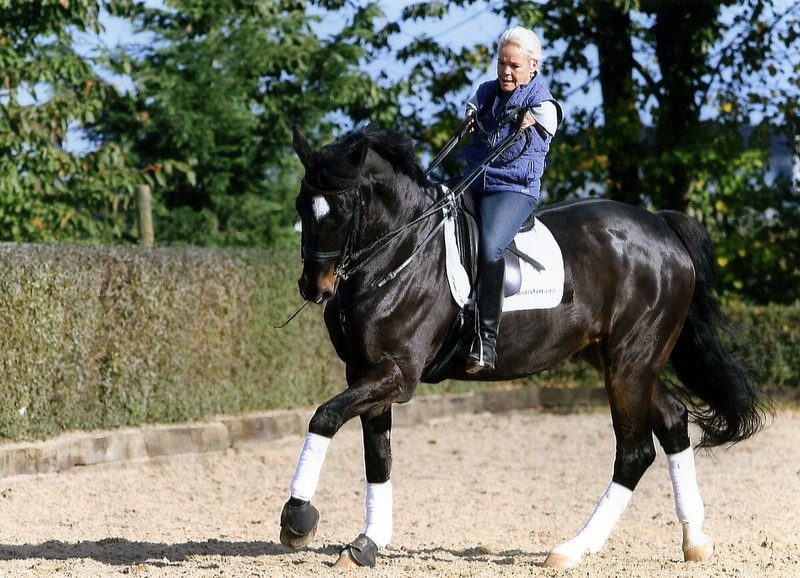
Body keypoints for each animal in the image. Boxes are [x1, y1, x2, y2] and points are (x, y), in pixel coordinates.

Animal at [279, 124, 766, 569]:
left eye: (342, 210)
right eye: (302, 205)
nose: (314, 287)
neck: (401, 250)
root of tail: (662, 228)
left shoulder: (397, 374)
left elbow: (324, 417)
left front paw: (297, 519)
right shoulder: (366, 372)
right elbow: (377, 457)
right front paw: (367, 543)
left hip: (632, 361)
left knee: (635, 451)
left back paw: (573, 549)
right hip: (619, 360)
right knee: (672, 419)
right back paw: (695, 540)